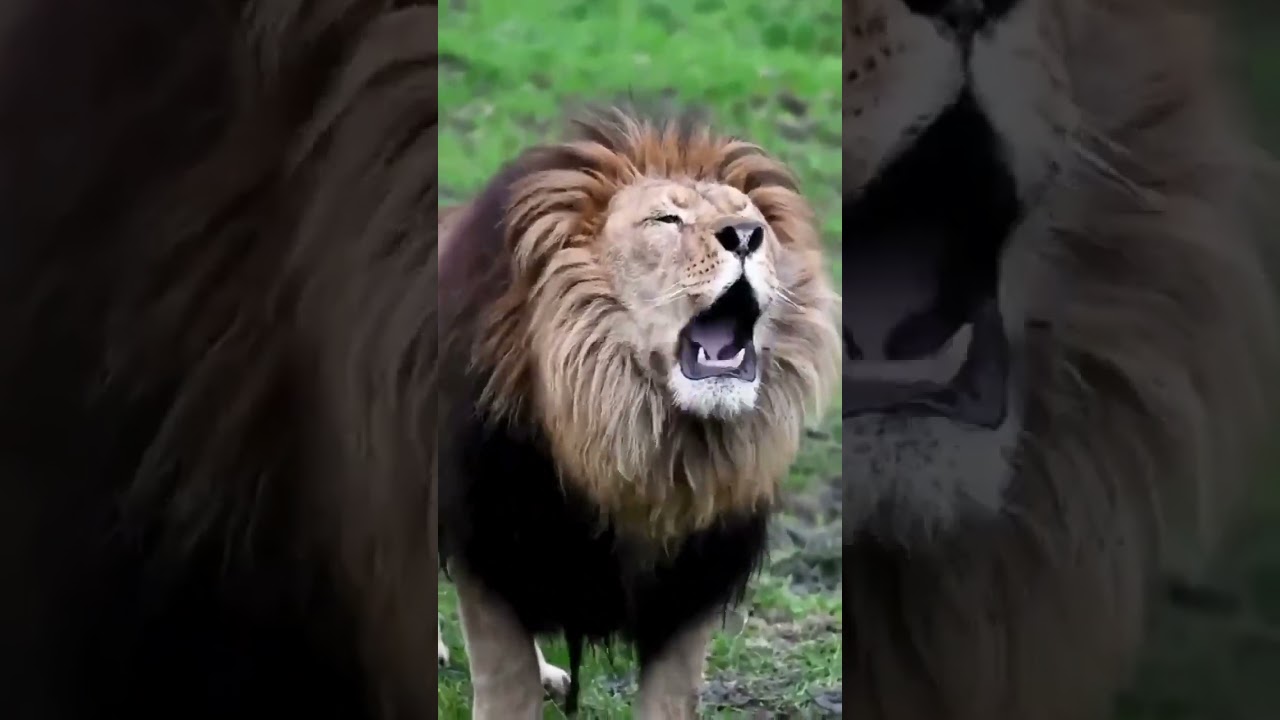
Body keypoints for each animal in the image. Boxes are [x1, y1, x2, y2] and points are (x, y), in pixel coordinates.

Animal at [436, 110, 841, 717]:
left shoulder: (691, 589)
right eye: (666, 219)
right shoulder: (490, 552)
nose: (746, 237)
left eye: (756, 223)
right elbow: (507, 686)